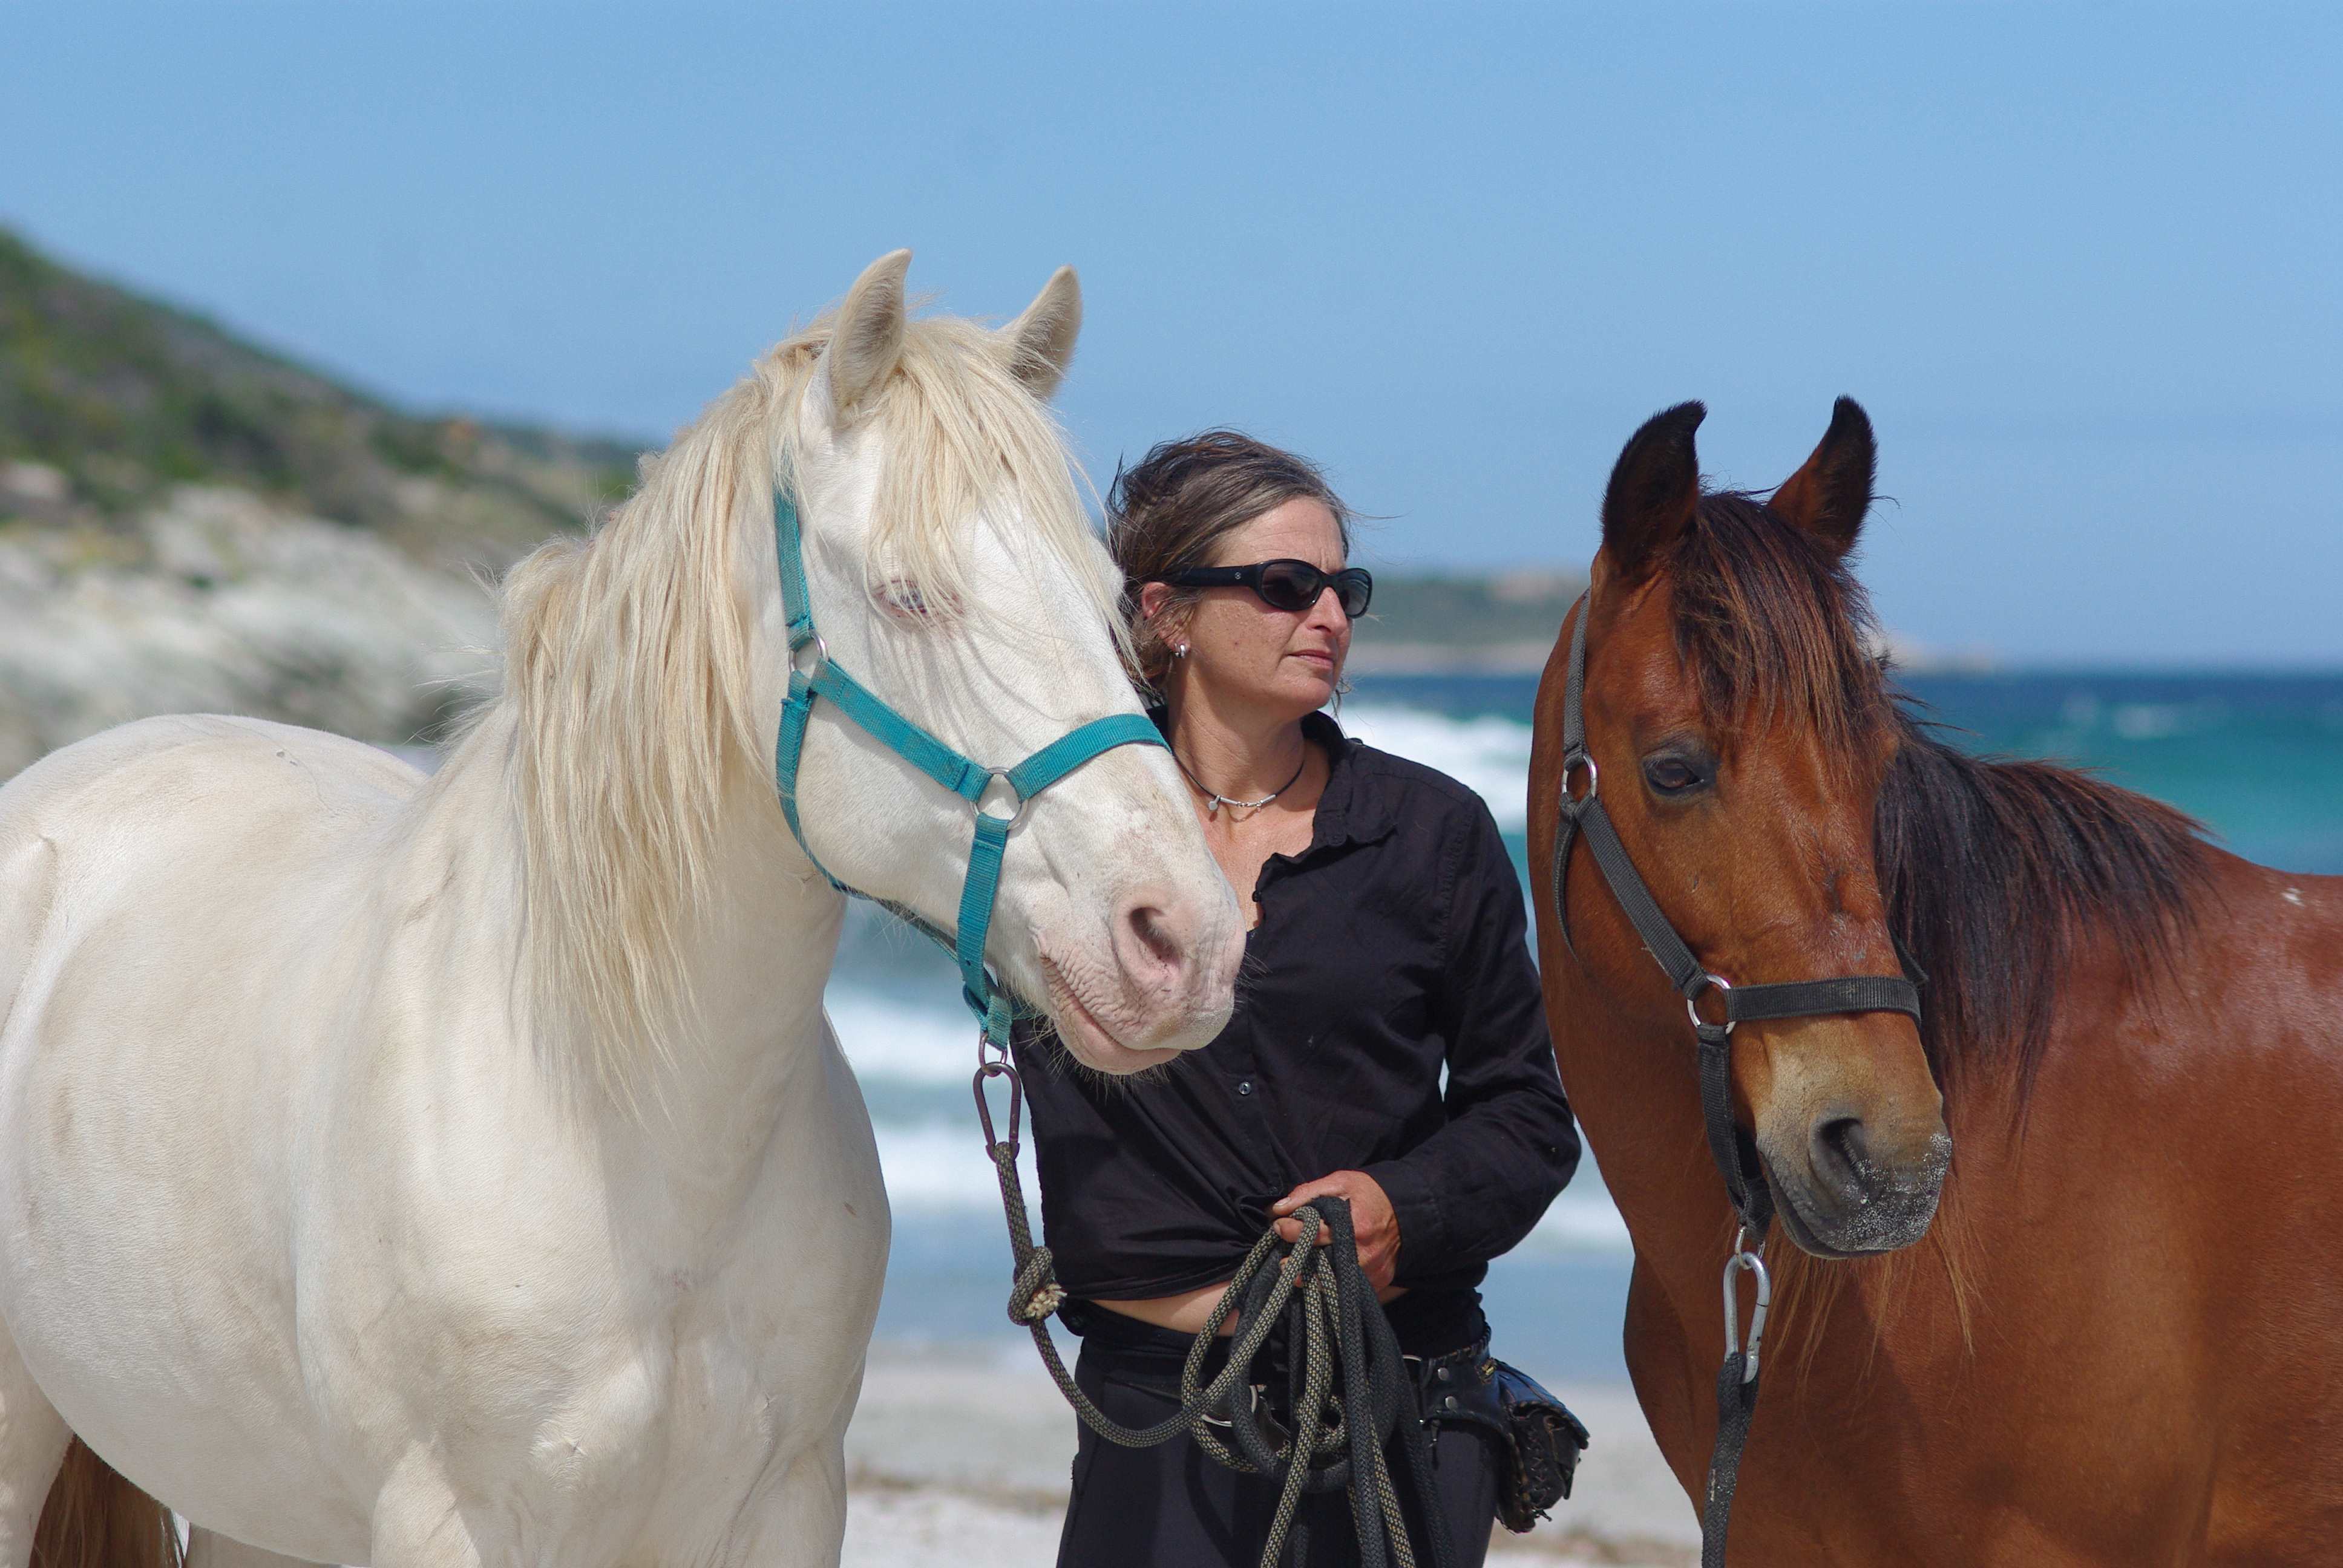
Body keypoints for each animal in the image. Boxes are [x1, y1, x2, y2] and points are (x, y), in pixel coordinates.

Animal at [0, 250, 1246, 1568]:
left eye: (1108, 596)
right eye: (908, 595)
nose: (1187, 940)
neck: (626, 1128)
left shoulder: (788, 1507)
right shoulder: (444, 1519)